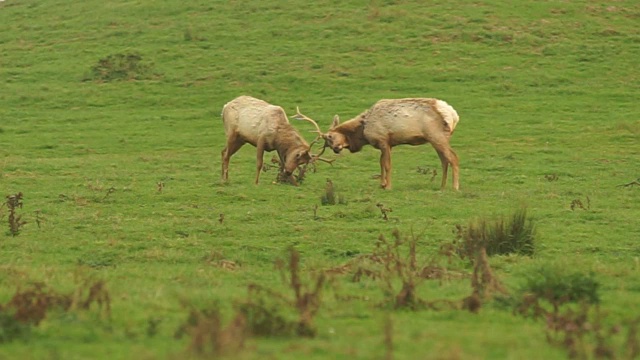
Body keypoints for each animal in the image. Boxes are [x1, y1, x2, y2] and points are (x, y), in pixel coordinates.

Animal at [296, 97, 460, 190]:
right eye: (328, 144)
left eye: (330, 137)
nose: (336, 149)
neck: (363, 131)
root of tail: (453, 115)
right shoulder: (387, 144)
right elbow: (381, 163)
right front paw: (382, 184)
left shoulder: (383, 140)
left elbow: (387, 165)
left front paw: (388, 186)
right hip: (437, 139)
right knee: (444, 160)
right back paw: (442, 186)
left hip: (437, 136)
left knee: (453, 158)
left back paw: (455, 187)